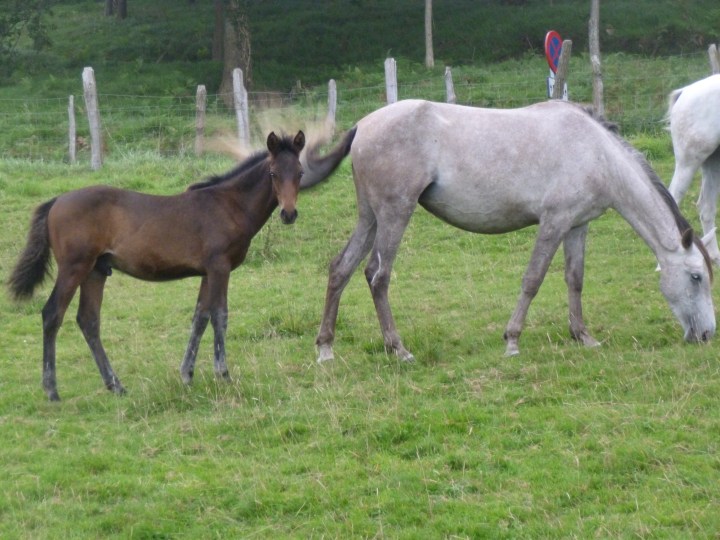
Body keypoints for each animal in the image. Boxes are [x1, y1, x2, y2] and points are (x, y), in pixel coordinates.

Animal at [8, 128, 356, 401]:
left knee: (89, 320)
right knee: (52, 314)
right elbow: (220, 315)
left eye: (299, 173)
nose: (288, 214)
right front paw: (222, 373)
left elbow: (200, 317)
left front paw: (187, 374)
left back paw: (115, 385)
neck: (229, 205)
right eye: (272, 174)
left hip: (96, 271)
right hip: (74, 267)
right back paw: (52, 389)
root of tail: (57, 201)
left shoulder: (207, 272)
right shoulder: (219, 267)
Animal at [301, 99, 715, 363]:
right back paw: (398, 349)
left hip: (370, 217)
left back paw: (325, 349)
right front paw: (512, 341)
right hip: (394, 213)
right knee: (378, 275)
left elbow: (575, 279)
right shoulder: (554, 222)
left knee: (341, 269)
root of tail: (363, 126)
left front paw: (583, 336)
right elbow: (533, 279)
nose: (707, 335)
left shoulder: (577, 225)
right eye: (696, 277)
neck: (596, 152)